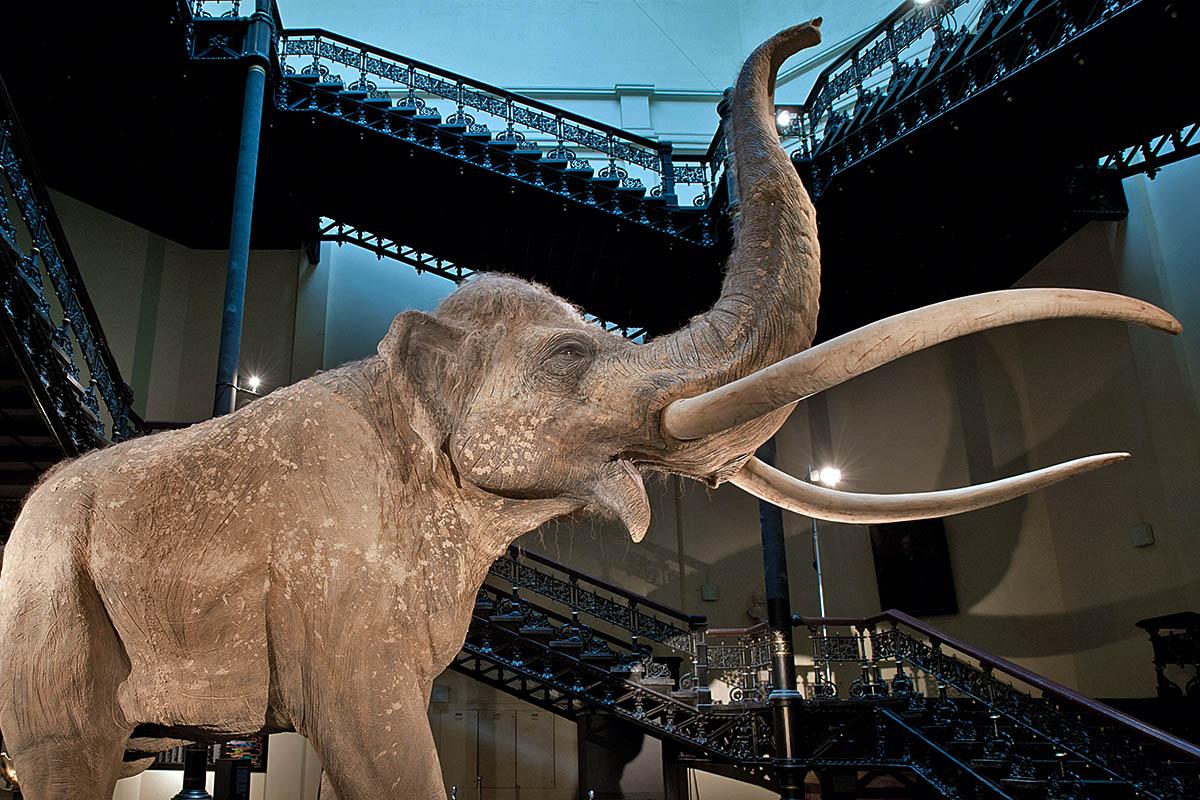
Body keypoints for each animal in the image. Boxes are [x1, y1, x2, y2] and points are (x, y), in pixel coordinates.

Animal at [0, 18, 1180, 800]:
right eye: (572, 353)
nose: (807, 29)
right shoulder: (325, 555)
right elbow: (377, 737)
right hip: (50, 601)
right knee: (68, 756)